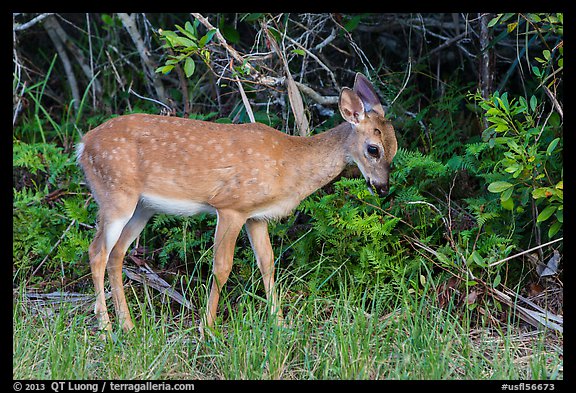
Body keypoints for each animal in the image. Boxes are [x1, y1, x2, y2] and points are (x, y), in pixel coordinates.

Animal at [77, 72, 396, 336]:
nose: (382, 188)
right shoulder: (231, 206)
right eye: (373, 149)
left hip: (143, 206)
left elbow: (267, 263)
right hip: (115, 194)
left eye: (394, 148)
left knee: (117, 254)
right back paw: (105, 327)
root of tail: (83, 144)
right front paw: (207, 329)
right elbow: (222, 267)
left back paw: (127, 325)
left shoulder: (256, 216)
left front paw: (280, 323)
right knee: (97, 252)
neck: (290, 164)